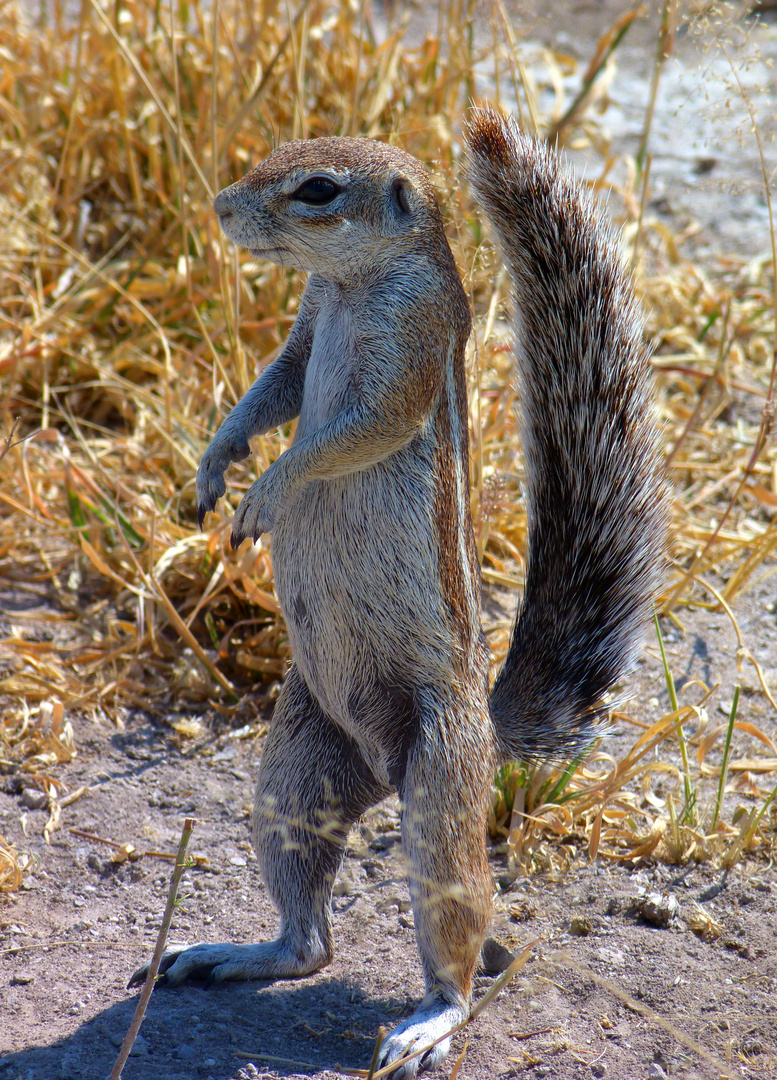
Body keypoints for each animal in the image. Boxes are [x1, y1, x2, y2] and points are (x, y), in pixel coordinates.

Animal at [129, 105, 670, 1075]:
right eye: (278, 151)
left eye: (316, 189)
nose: (221, 209)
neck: (355, 284)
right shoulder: (306, 326)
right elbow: (270, 391)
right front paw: (216, 462)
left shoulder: (407, 347)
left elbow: (346, 433)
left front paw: (268, 491)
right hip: (293, 772)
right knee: (310, 941)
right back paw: (233, 952)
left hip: (442, 788)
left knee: (457, 942)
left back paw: (427, 1025)